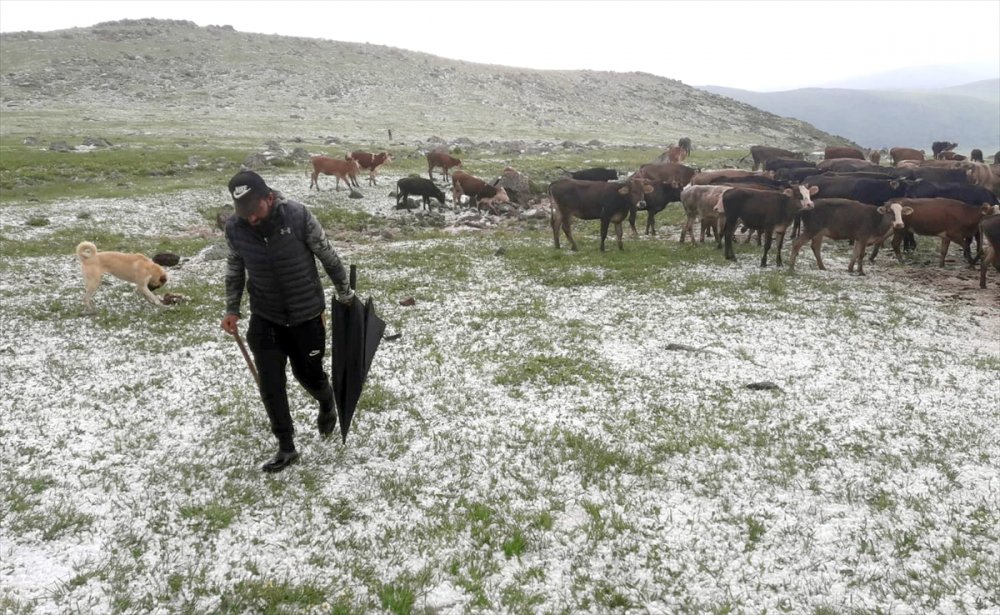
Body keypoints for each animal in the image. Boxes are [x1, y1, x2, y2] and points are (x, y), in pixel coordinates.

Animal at [788, 199, 916, 276]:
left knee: (815, 247)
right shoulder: (863, 236)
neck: (877, 222)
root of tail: (806, 207)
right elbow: (861, 254)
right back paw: (791, 266)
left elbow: (855, 252)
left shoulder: (858, 238)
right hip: (812, 228)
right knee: (797, 242)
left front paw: (850, 269)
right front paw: (861, 271)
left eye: (902, 212)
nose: (899, 224)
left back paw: (822, 266)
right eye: (889, 211)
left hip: (819, 232)